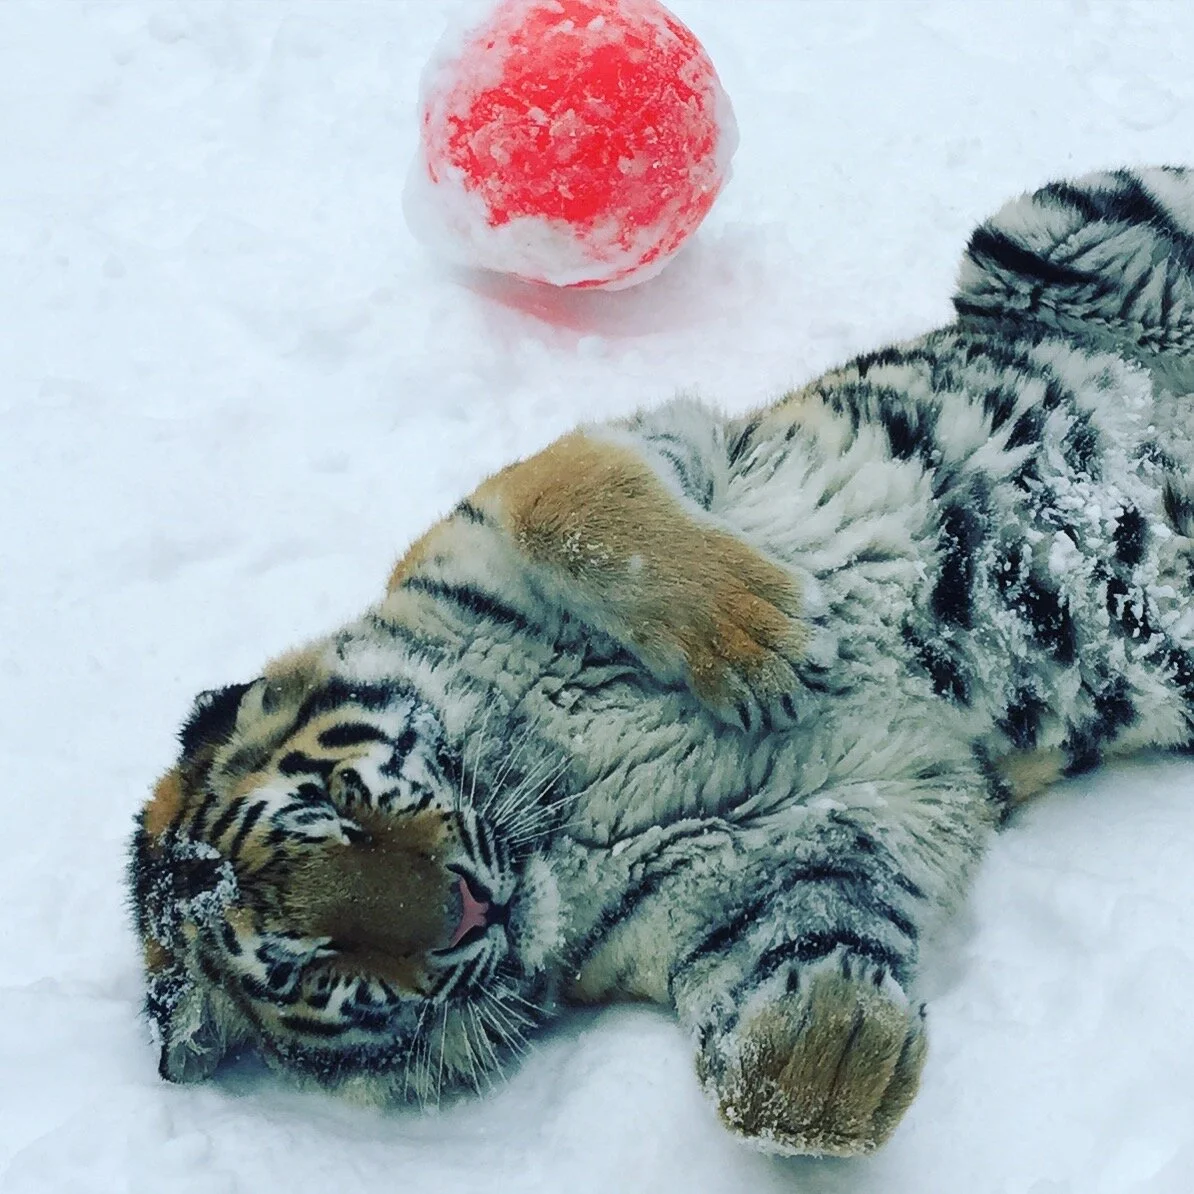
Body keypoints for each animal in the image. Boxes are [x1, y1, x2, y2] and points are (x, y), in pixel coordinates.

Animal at [129, 166, 1194, 1158]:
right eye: (319, 965)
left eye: (342, 811)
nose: (467, 910)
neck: (555, 806)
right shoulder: (769, 868)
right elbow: (787, 996)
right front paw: (836, 1056)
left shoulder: (526, 502)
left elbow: (580, 512)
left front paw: (768, 641)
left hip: (1036, 229)